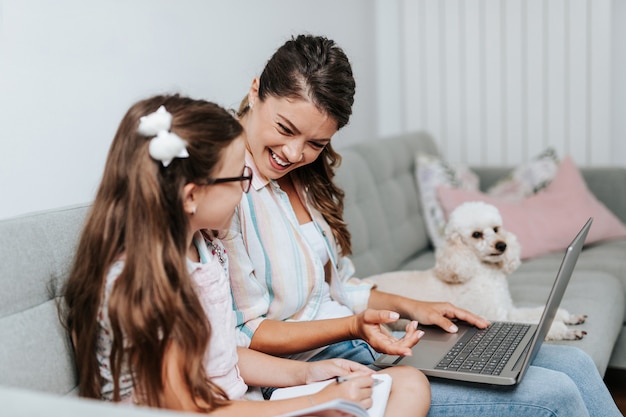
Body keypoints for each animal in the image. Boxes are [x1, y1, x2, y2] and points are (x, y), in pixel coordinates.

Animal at [366, 200, 584, 340]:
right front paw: (564, 330)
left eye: (496, 229)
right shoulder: (497, 317)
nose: (502, 245)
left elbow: (537, 313)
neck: (484, 273)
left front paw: (568, 317)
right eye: (476, 234)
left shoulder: (508, 311)